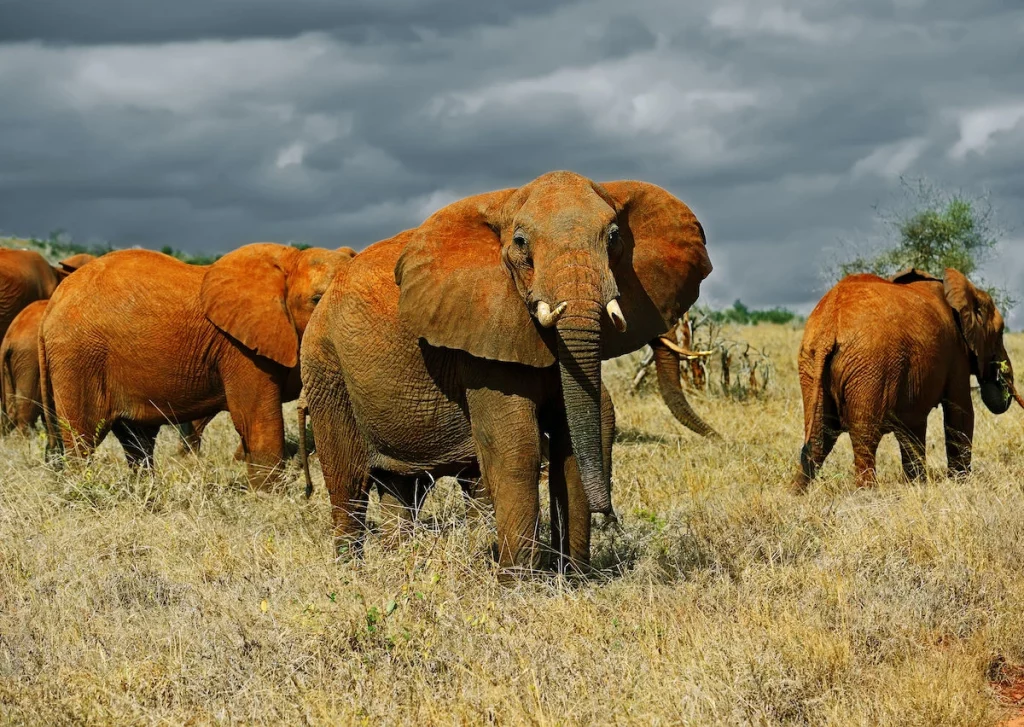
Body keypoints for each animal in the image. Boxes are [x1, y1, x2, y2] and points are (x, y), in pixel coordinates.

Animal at [39, 241, 354, 487]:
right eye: (316, 299)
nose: (307, 487)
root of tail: (51, 305)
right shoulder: (239, 348)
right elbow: (256, 420)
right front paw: (271, 499)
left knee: (137, 441)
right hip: (78, 357)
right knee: (83, 438)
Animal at [299, 172, 708, 573]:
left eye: (613, 238)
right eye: (521, 243)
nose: (610, 515)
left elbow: (571, 441)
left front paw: (574, 578)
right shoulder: (480, 334)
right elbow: (517, 446)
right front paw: (519, 582)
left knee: (403, 488)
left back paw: (401, 564)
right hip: (325, 367)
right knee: (348, 483)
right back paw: (351, 573)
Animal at [790, 264, 1015, 493]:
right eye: (1000, 333)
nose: (998, 374)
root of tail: (829, 328)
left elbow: (913, 424)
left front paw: (917, 485)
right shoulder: (956, 354)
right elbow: (960, 412)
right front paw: (960, 483)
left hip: (811, 365)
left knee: (819, 436)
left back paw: (797, 493)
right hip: (870, 366)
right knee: (864, 435)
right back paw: (868, 493)